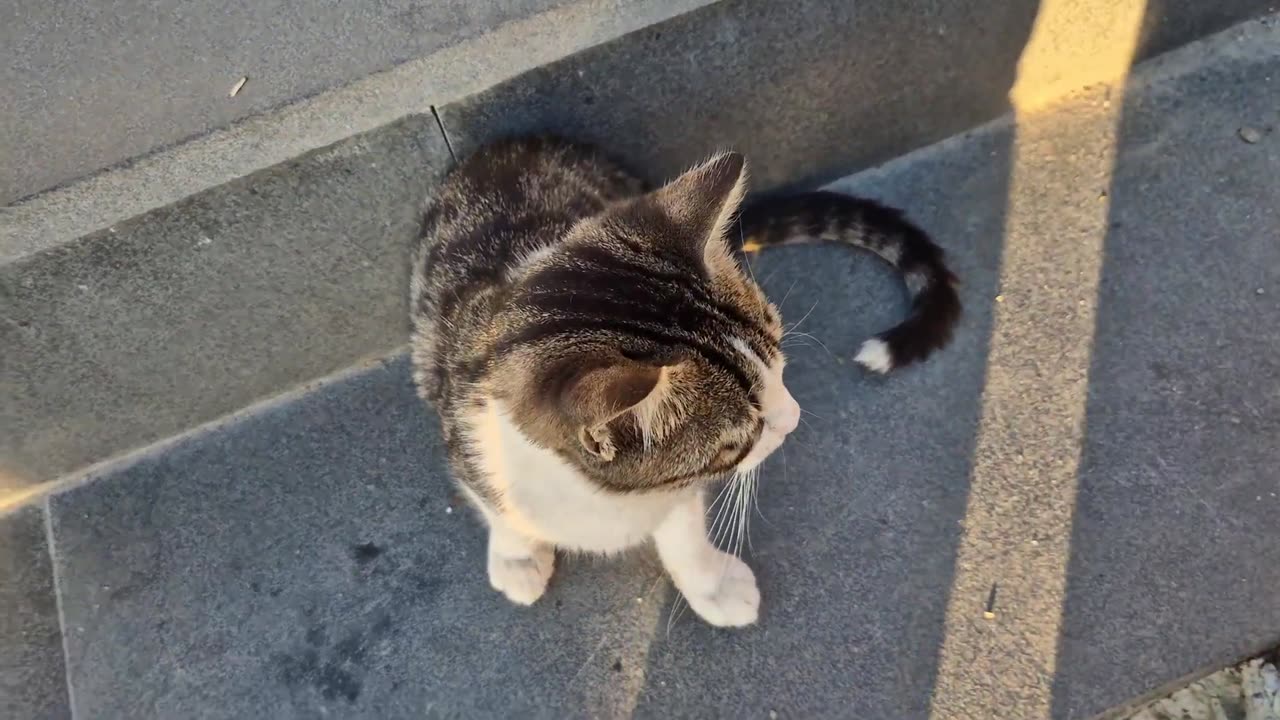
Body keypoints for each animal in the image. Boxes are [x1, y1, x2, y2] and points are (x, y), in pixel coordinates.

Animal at [409, 135, 962, 622]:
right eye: (744, 433)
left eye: (781, 367)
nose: (794, 418)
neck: (607, 497)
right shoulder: (459, 416)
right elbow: (492, 500)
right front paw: (516, 554)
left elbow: (683, 530)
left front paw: (713, 586)